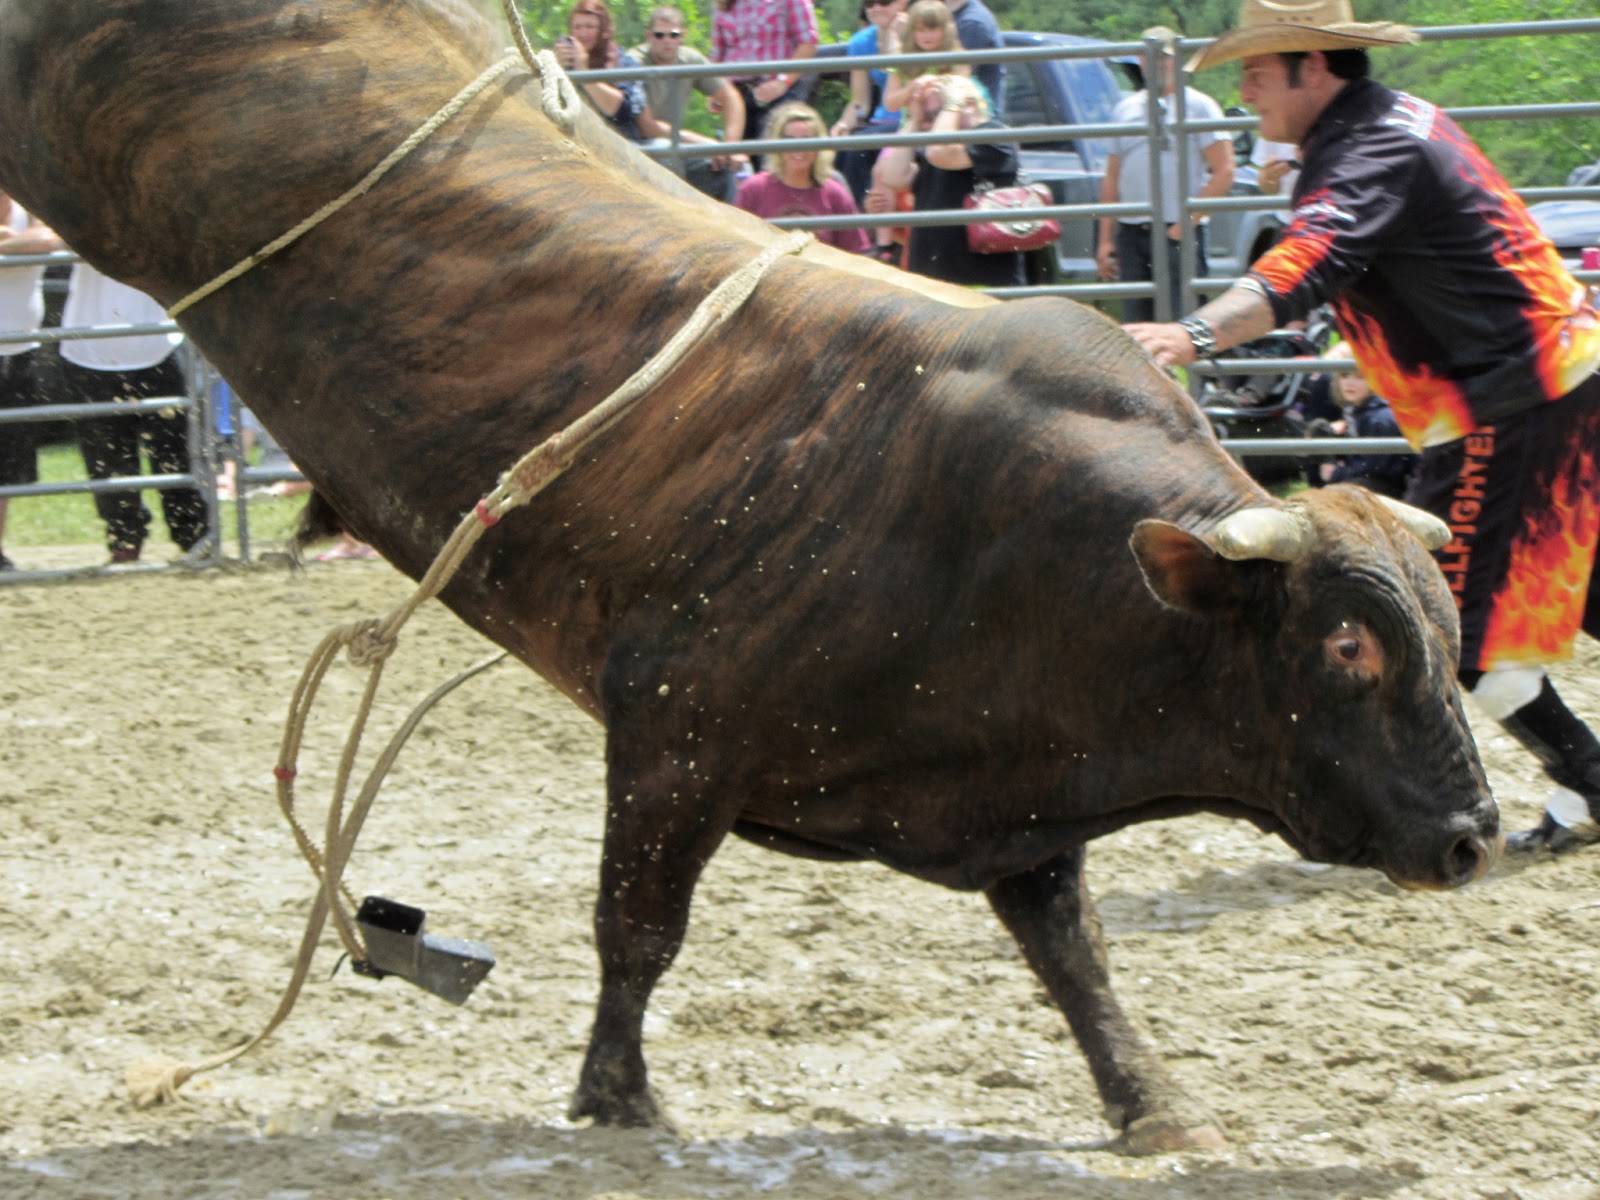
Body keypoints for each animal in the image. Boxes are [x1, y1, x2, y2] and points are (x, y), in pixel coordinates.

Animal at [0, 0, 1500, 1154]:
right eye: (1350, 649)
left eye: (1444, 630)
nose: (1472, 838)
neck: (1018, 537)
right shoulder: (673, 734)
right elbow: (636, 931)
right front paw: (619, 1099)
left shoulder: (1021, 811)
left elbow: (1075, 962)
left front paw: (1151, 1107)